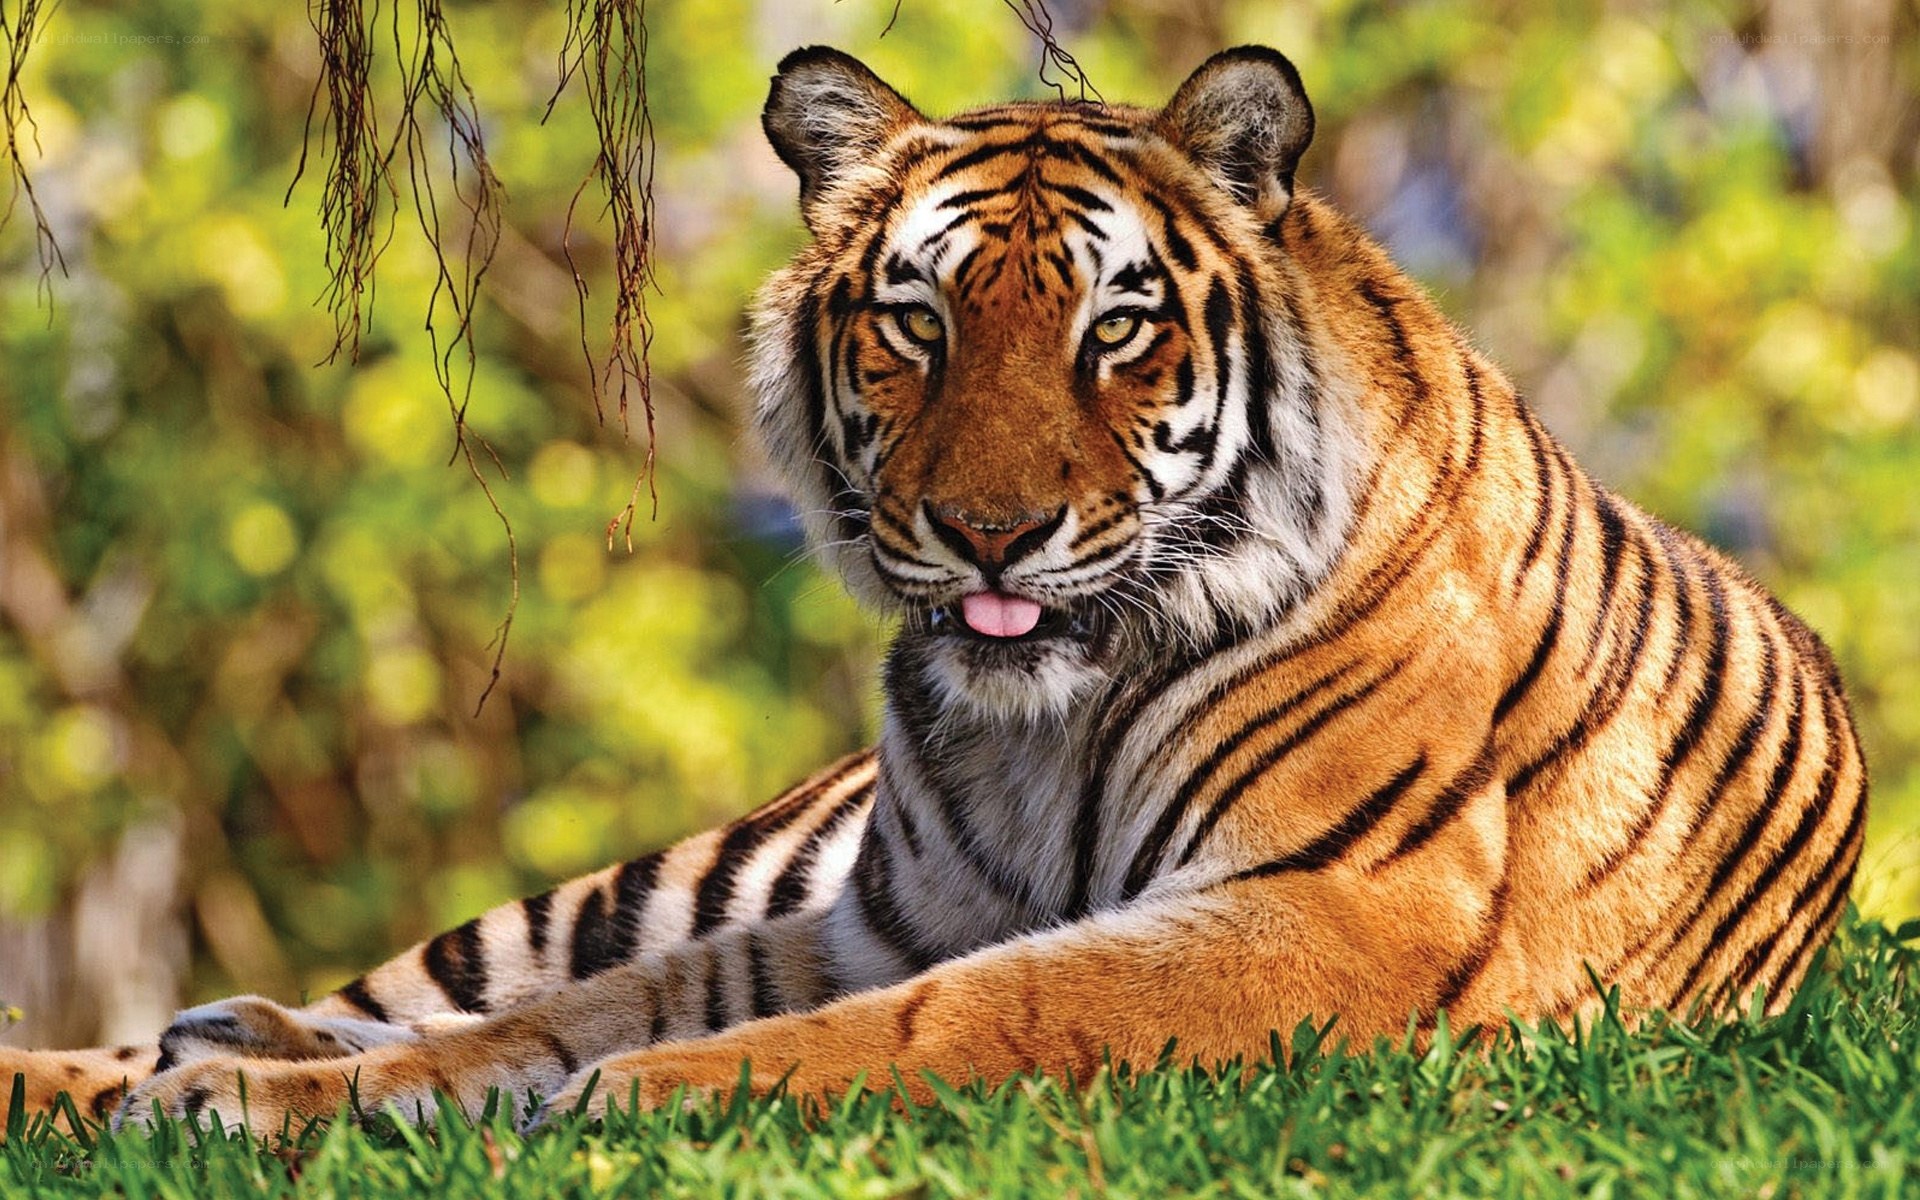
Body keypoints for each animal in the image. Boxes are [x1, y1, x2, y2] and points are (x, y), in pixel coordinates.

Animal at [1, 44, 1867, 1135]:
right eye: (918, 321)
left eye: (1116, 328)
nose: (988, 533)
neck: (1041, 726)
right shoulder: (868, 915)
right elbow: (549, 1018)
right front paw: (254, 1099)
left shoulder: (1331, 912)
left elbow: (964, 1014)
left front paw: (624, 1101)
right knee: (415, 988)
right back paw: (167, 1056)